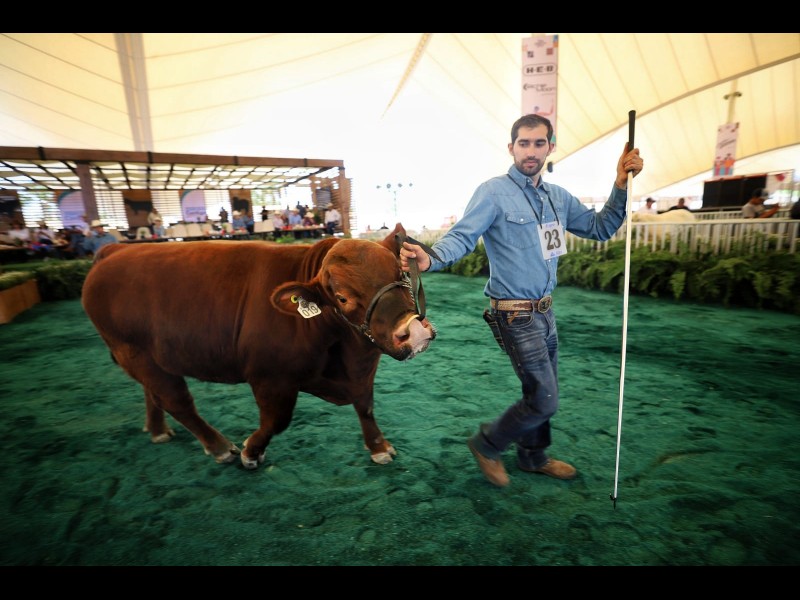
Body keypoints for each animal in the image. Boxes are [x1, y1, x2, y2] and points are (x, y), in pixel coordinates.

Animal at [81, 223, 437, 470]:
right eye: (342, 297)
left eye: (401, 273)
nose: (413, 332)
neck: (346, 354)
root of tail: (115, 250)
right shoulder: (271, 378)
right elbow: (276, 421)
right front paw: (251, 452)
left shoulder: (363, 368)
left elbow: (366, 405)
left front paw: (379, 447)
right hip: (133, 351)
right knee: (176, 400)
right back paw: (219, 447)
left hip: (148, 357)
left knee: (152, 392)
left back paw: (157, 430)